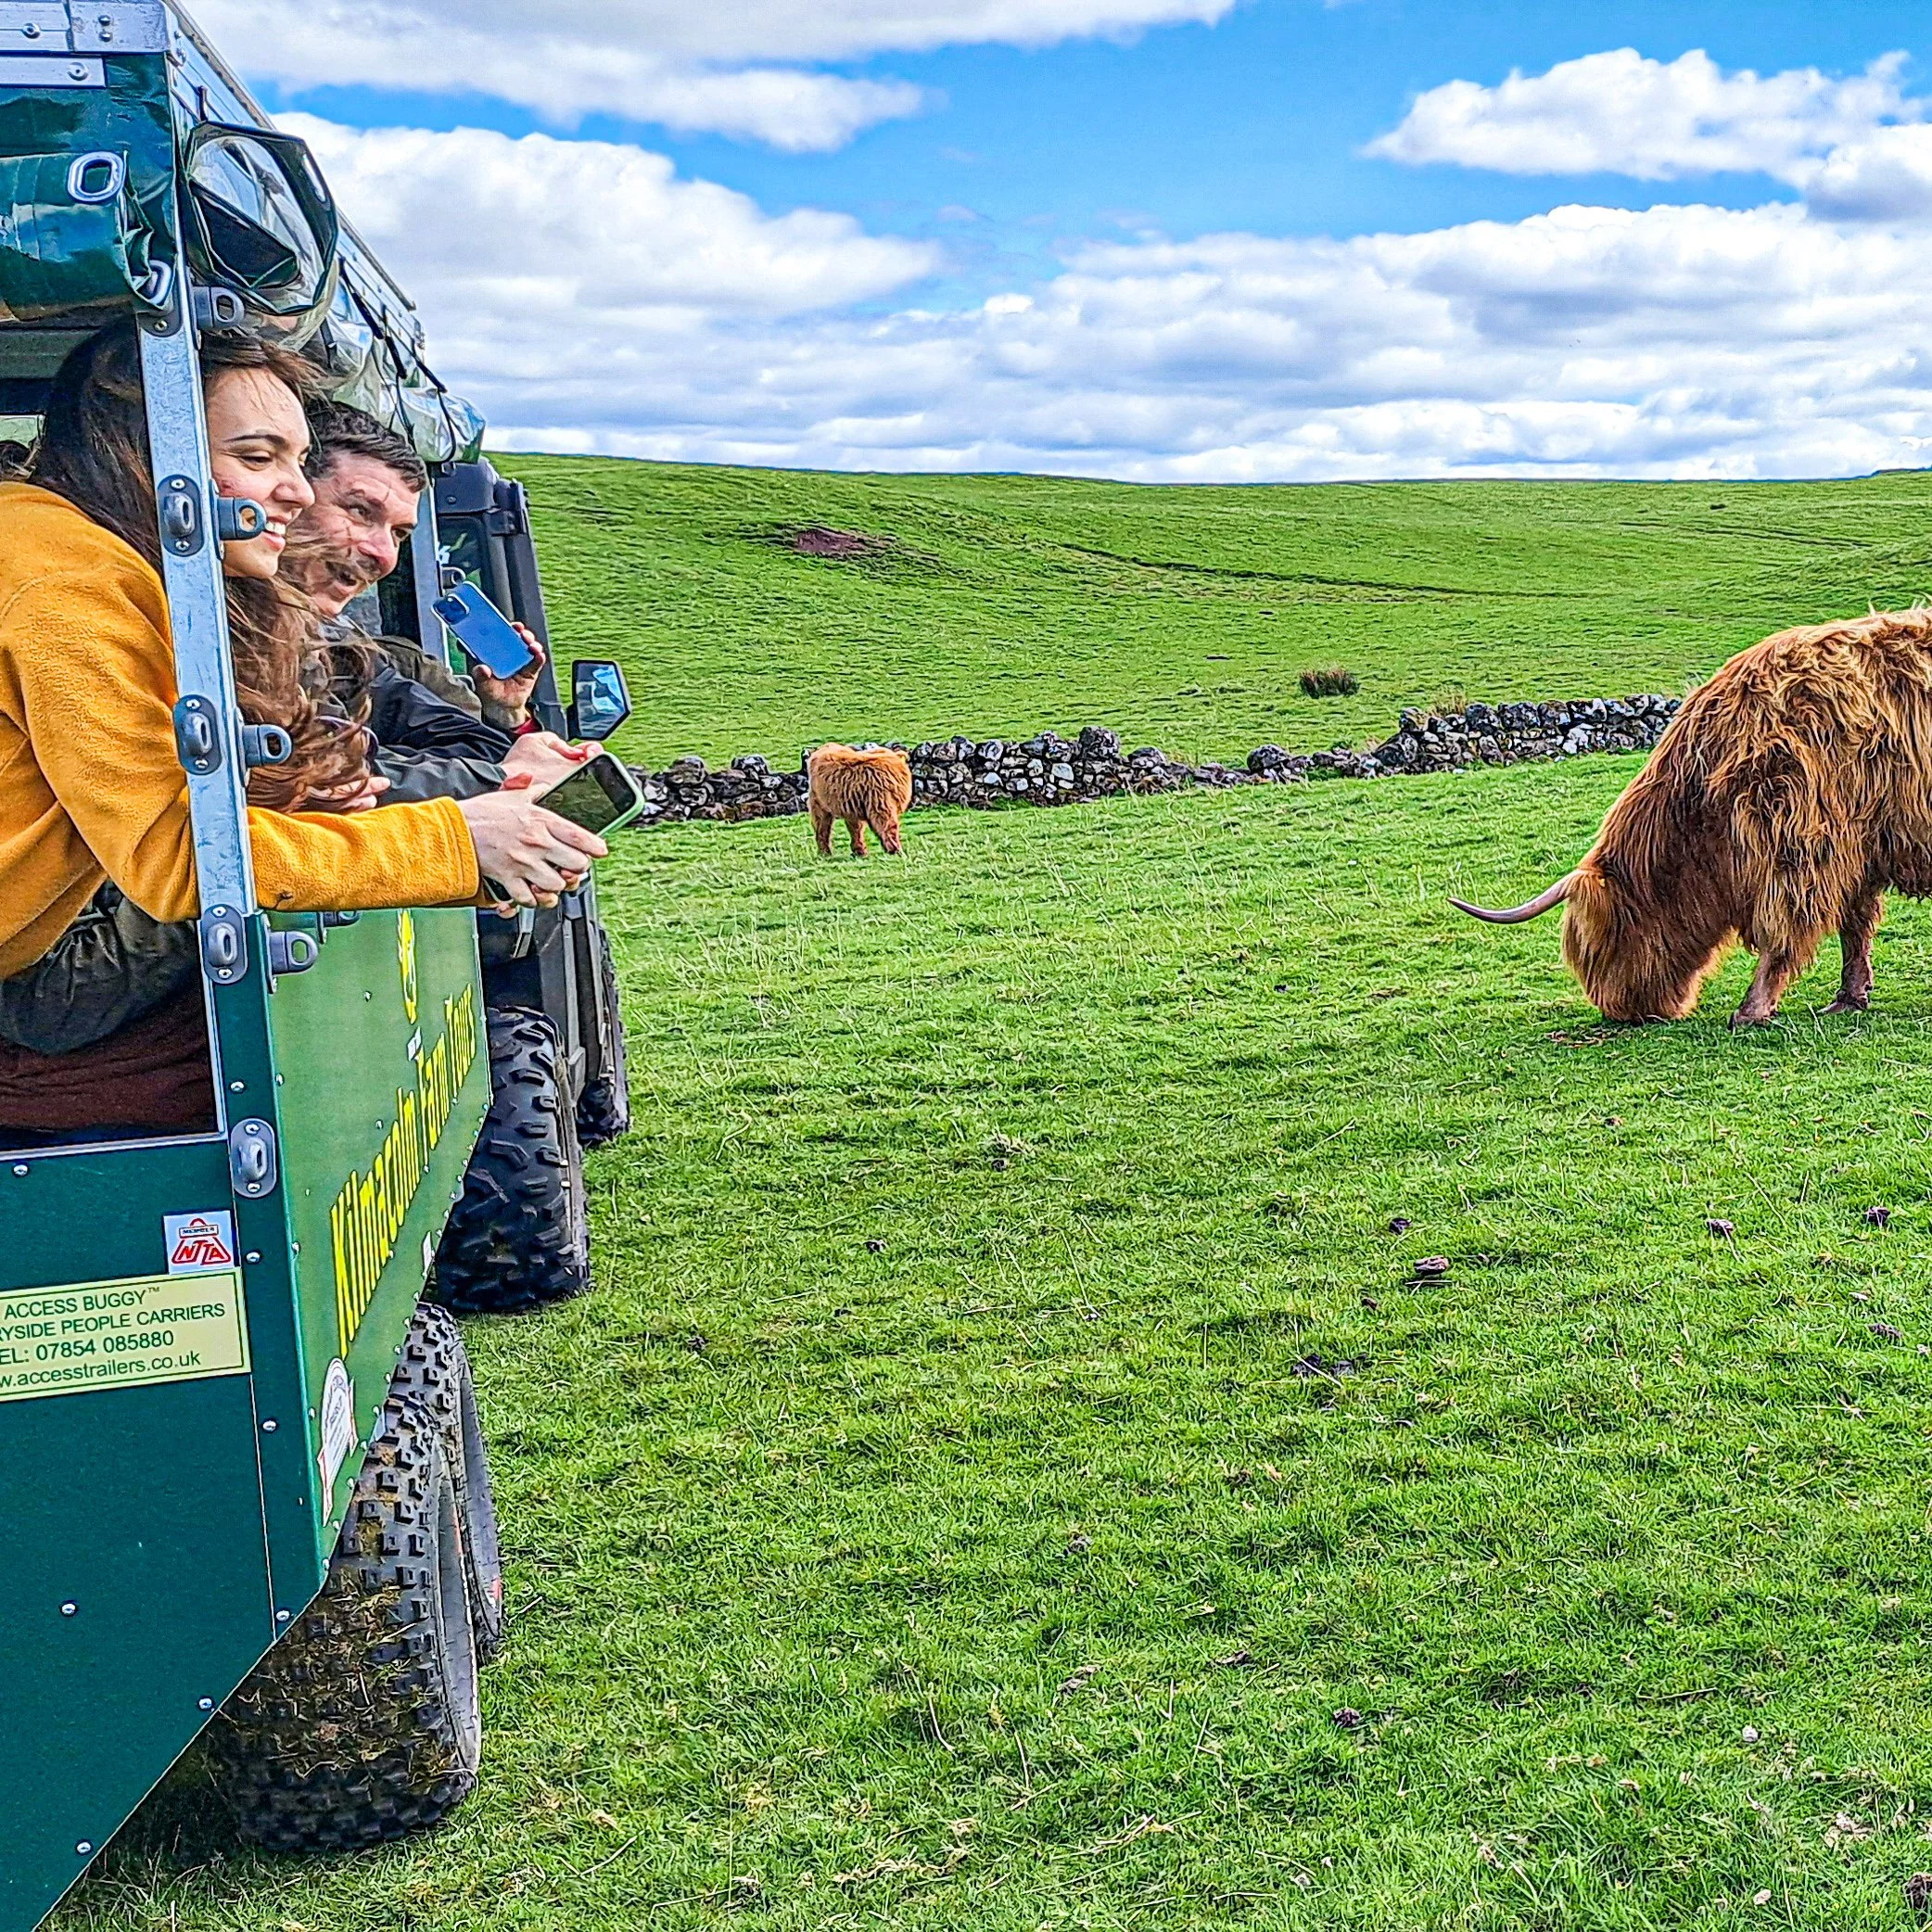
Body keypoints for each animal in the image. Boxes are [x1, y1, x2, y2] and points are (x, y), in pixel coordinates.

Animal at [1450, 609, 1932, 1027]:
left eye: (1601, 943)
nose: (1618, 1010)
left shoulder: (1799, 846)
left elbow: (1782, 932)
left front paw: (1751, 1010)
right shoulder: (1858, 851)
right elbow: (1855, 926)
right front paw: (1849, 998)